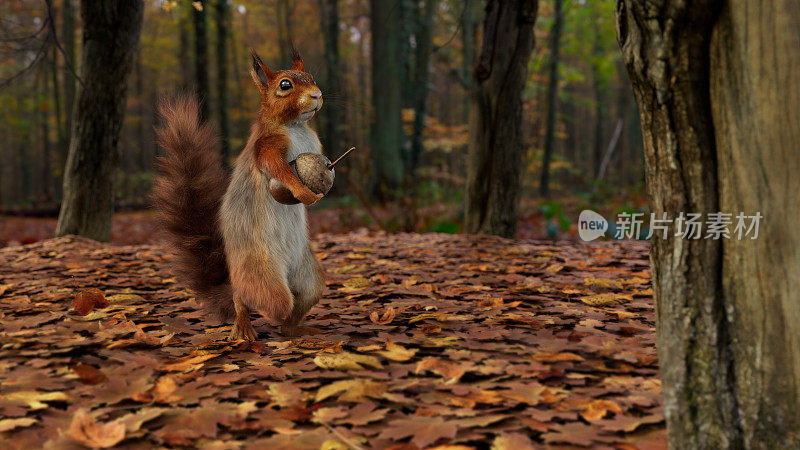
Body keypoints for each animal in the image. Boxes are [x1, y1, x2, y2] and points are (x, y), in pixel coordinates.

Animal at [150, 48, 324, 338]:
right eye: (285, 85)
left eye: (311, 77)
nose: (317, 95)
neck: (295, 127)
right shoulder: (267, 146)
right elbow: (278, 168)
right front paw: (304, 192)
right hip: (260, 273)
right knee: (255, 299)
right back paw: (245, 325)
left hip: (308, 278)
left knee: (299, 302)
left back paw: (296, 329)